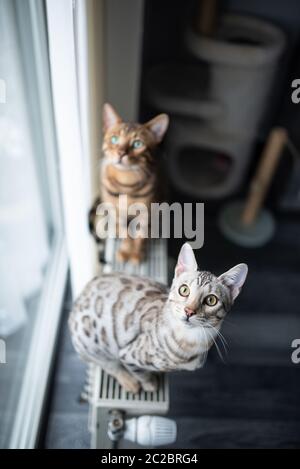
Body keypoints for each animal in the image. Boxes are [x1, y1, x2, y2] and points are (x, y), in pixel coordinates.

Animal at [69, 241, 247, 392]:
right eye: (184, 290)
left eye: (211, 300)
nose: (189, 311)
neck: (191, 342)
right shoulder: (127, 353)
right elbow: (140, 372)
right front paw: (149, 383)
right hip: (90, 342)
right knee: (105, 363)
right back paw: (128, 381)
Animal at [89, 103, 169, 264]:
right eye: (114, 139)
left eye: (138, 144)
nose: (121, 153)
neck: (126, 183)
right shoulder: (116, 212)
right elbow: (125, 234)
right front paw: (125, 251)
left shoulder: (145, 212)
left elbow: (140, 235)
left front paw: (136, 253)